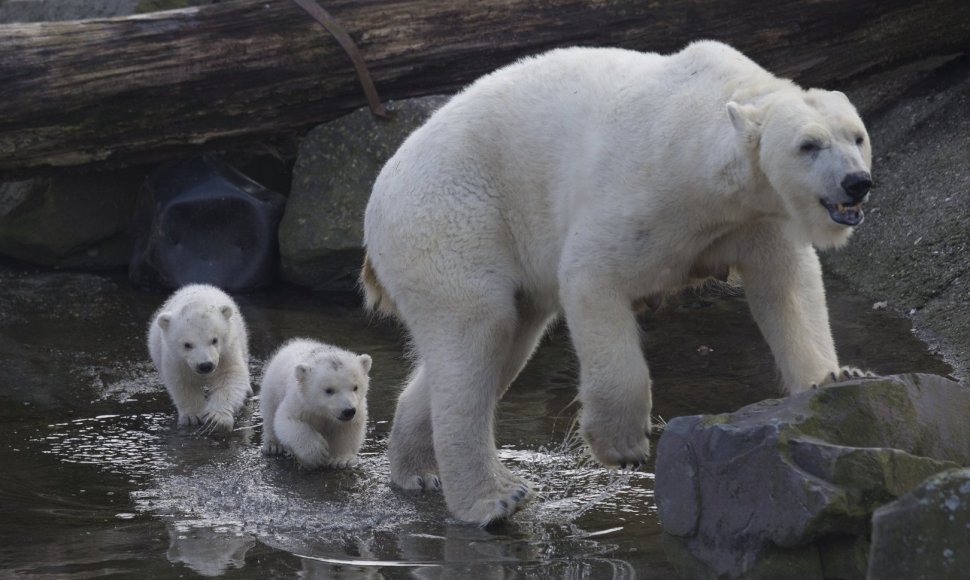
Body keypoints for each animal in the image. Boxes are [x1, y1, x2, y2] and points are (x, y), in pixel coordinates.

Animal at [362, 38, 868, 524]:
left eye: (857, 137)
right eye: (808, 144)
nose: (857, 182)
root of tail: (378, 197)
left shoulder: (756, 216)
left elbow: (787, 285)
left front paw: (836, 375)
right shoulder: (652, 189)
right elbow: (592, 275)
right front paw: (622, 446)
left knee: (505, 342)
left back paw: (416, 469)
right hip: (454, 220)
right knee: (480, 329)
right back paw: (495, 498)